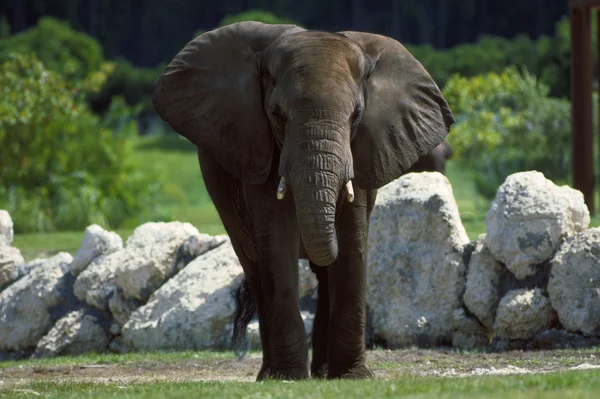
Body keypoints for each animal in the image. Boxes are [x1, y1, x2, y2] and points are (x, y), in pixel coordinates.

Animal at [151, 21, 454, 382]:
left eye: (357, 115)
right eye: (276, 113)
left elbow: (352, 240)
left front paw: (353, 377)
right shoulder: (259, 148)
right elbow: (277, 239)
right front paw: (288, 377)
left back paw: (323, 373)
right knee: (256, 269)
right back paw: (270, 373)